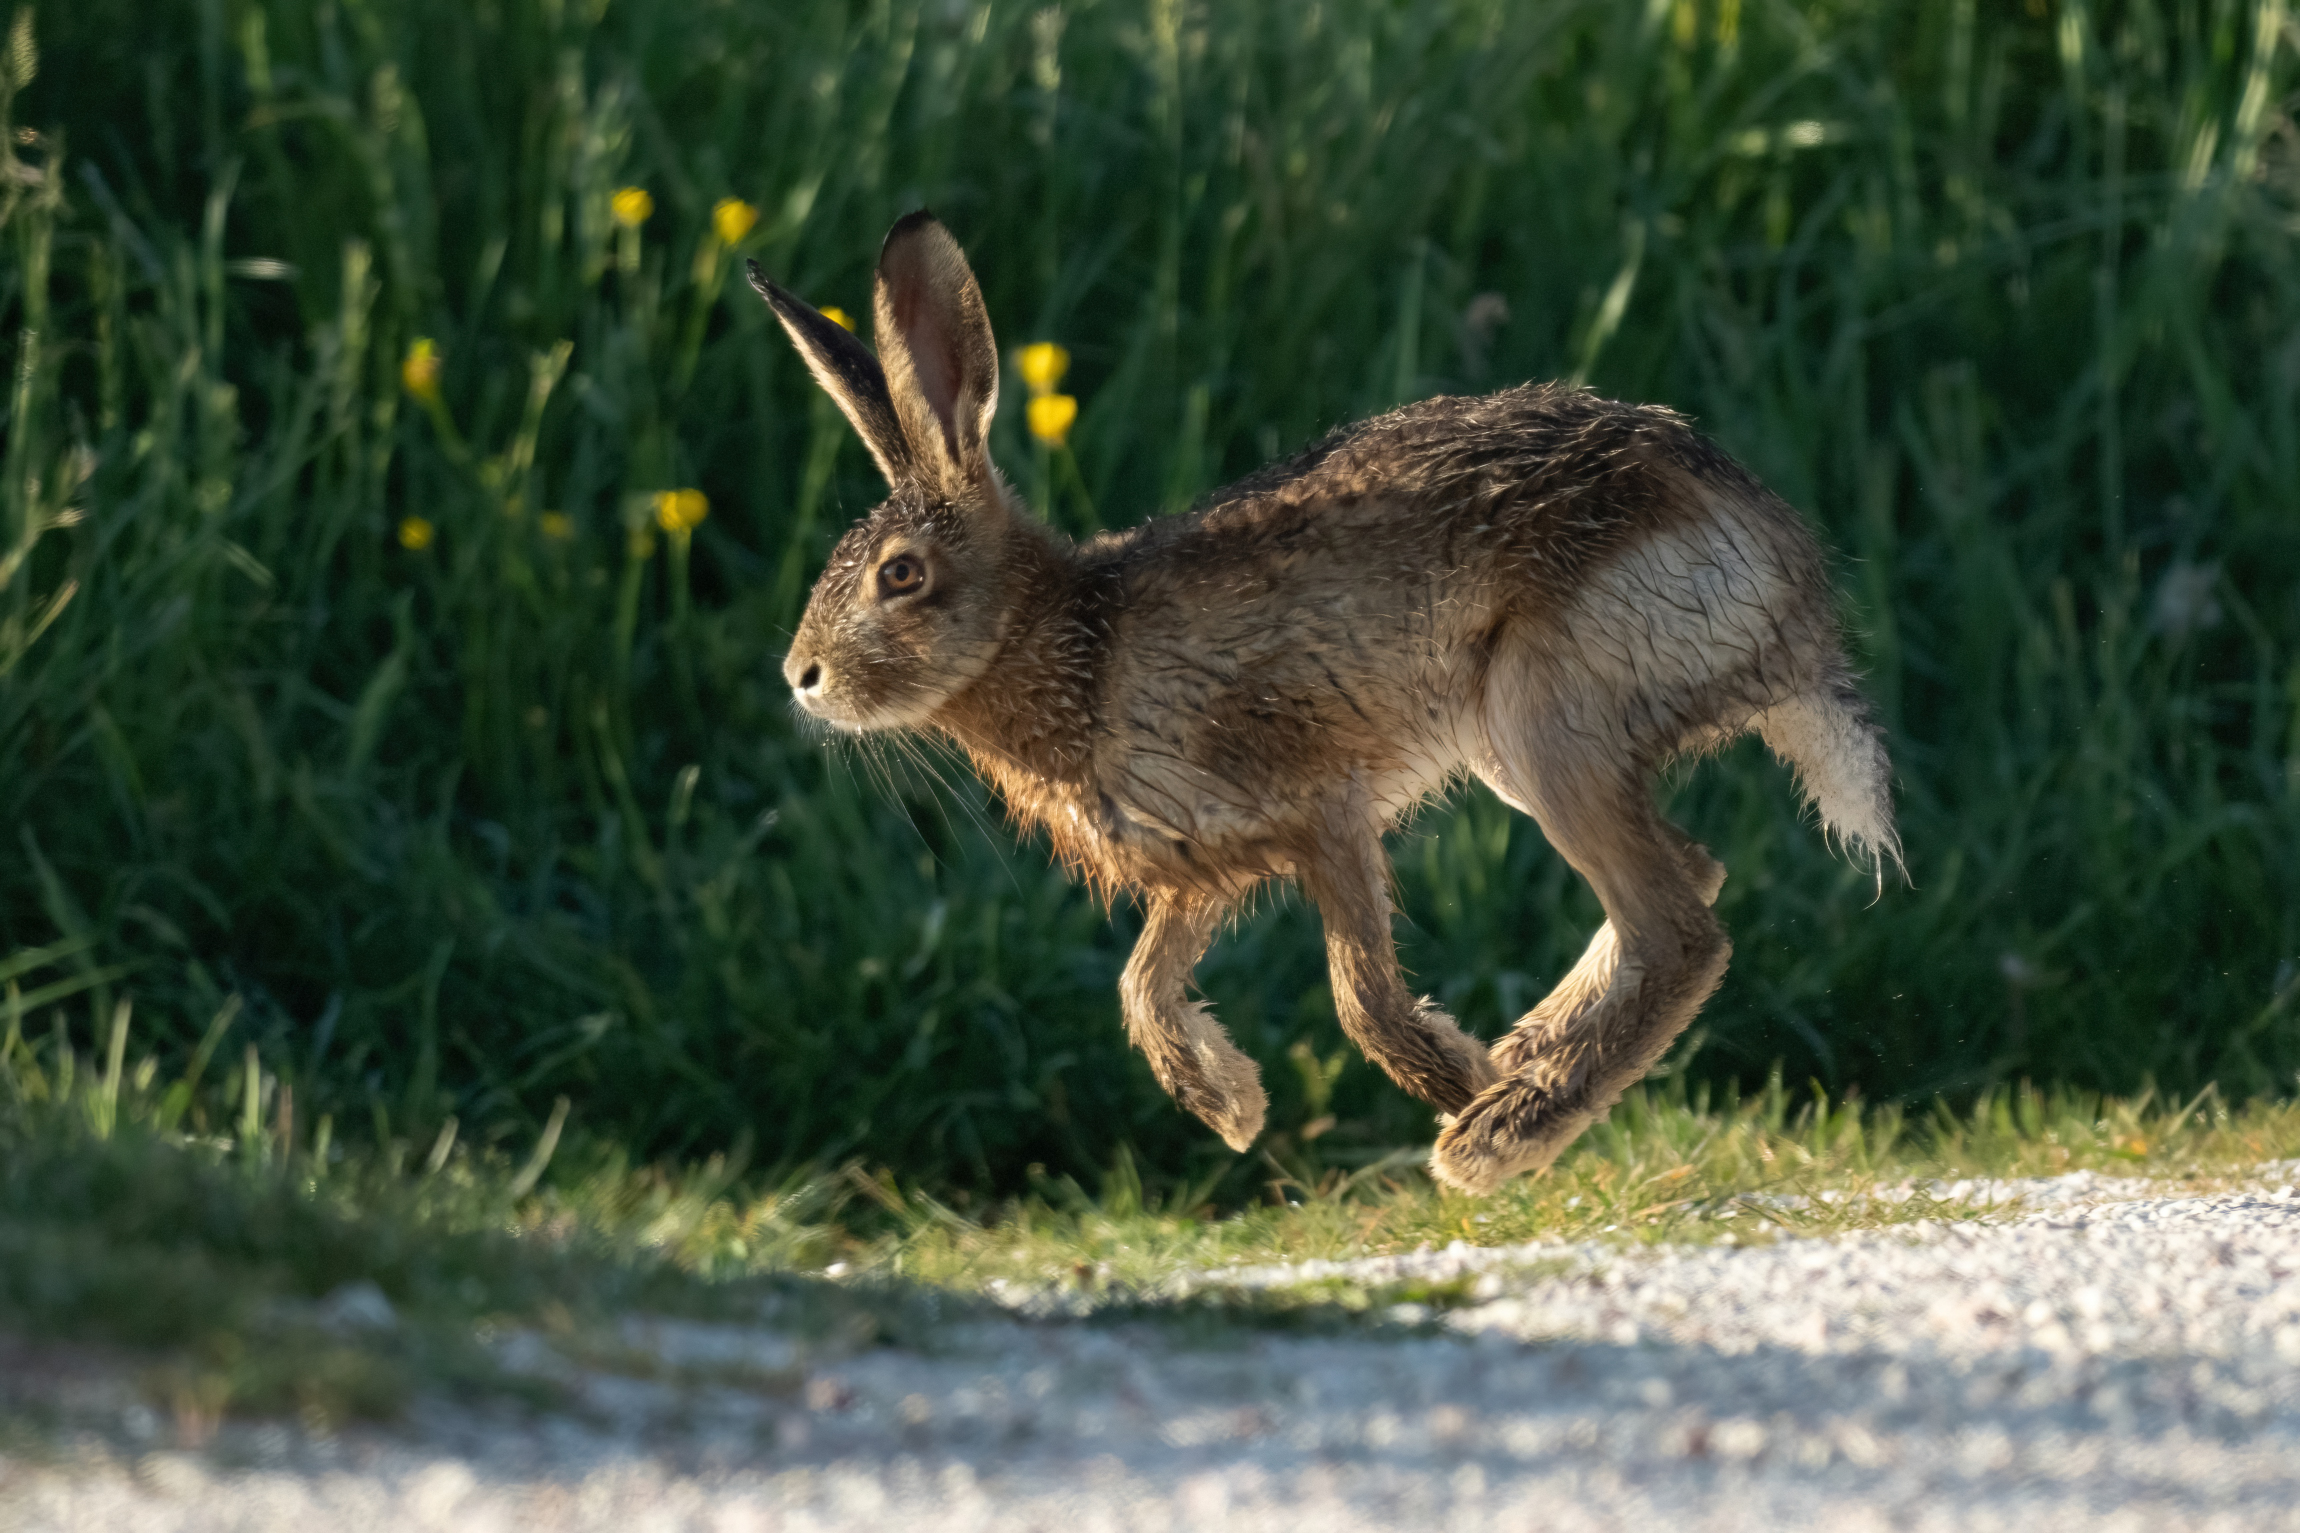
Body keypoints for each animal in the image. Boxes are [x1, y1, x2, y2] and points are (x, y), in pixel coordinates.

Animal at [749, 211, 1898, 1194]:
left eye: (900, 575)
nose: (800, 677)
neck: (1076, 641)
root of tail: (1787, 598)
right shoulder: (1204, 868)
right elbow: (1142, 988)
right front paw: (1232, 1109)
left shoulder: (1322, 810)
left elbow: (1358, 996)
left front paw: (1449, 1083)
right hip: (1520, 752)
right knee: (1688, 877)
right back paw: (1528, 1053)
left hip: (1546, 715)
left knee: (1678, 929)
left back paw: (1500, 1130)